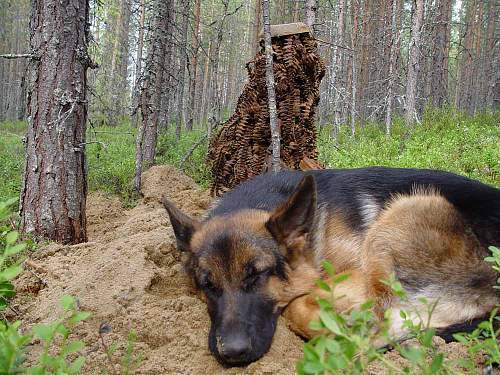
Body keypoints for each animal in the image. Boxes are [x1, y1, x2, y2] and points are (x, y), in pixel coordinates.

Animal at [162, 167, 498, 368]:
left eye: (258, 276)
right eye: (208, 285)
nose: (232, 353)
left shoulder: (359, 276)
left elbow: (297, 305)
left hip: (404, 212)